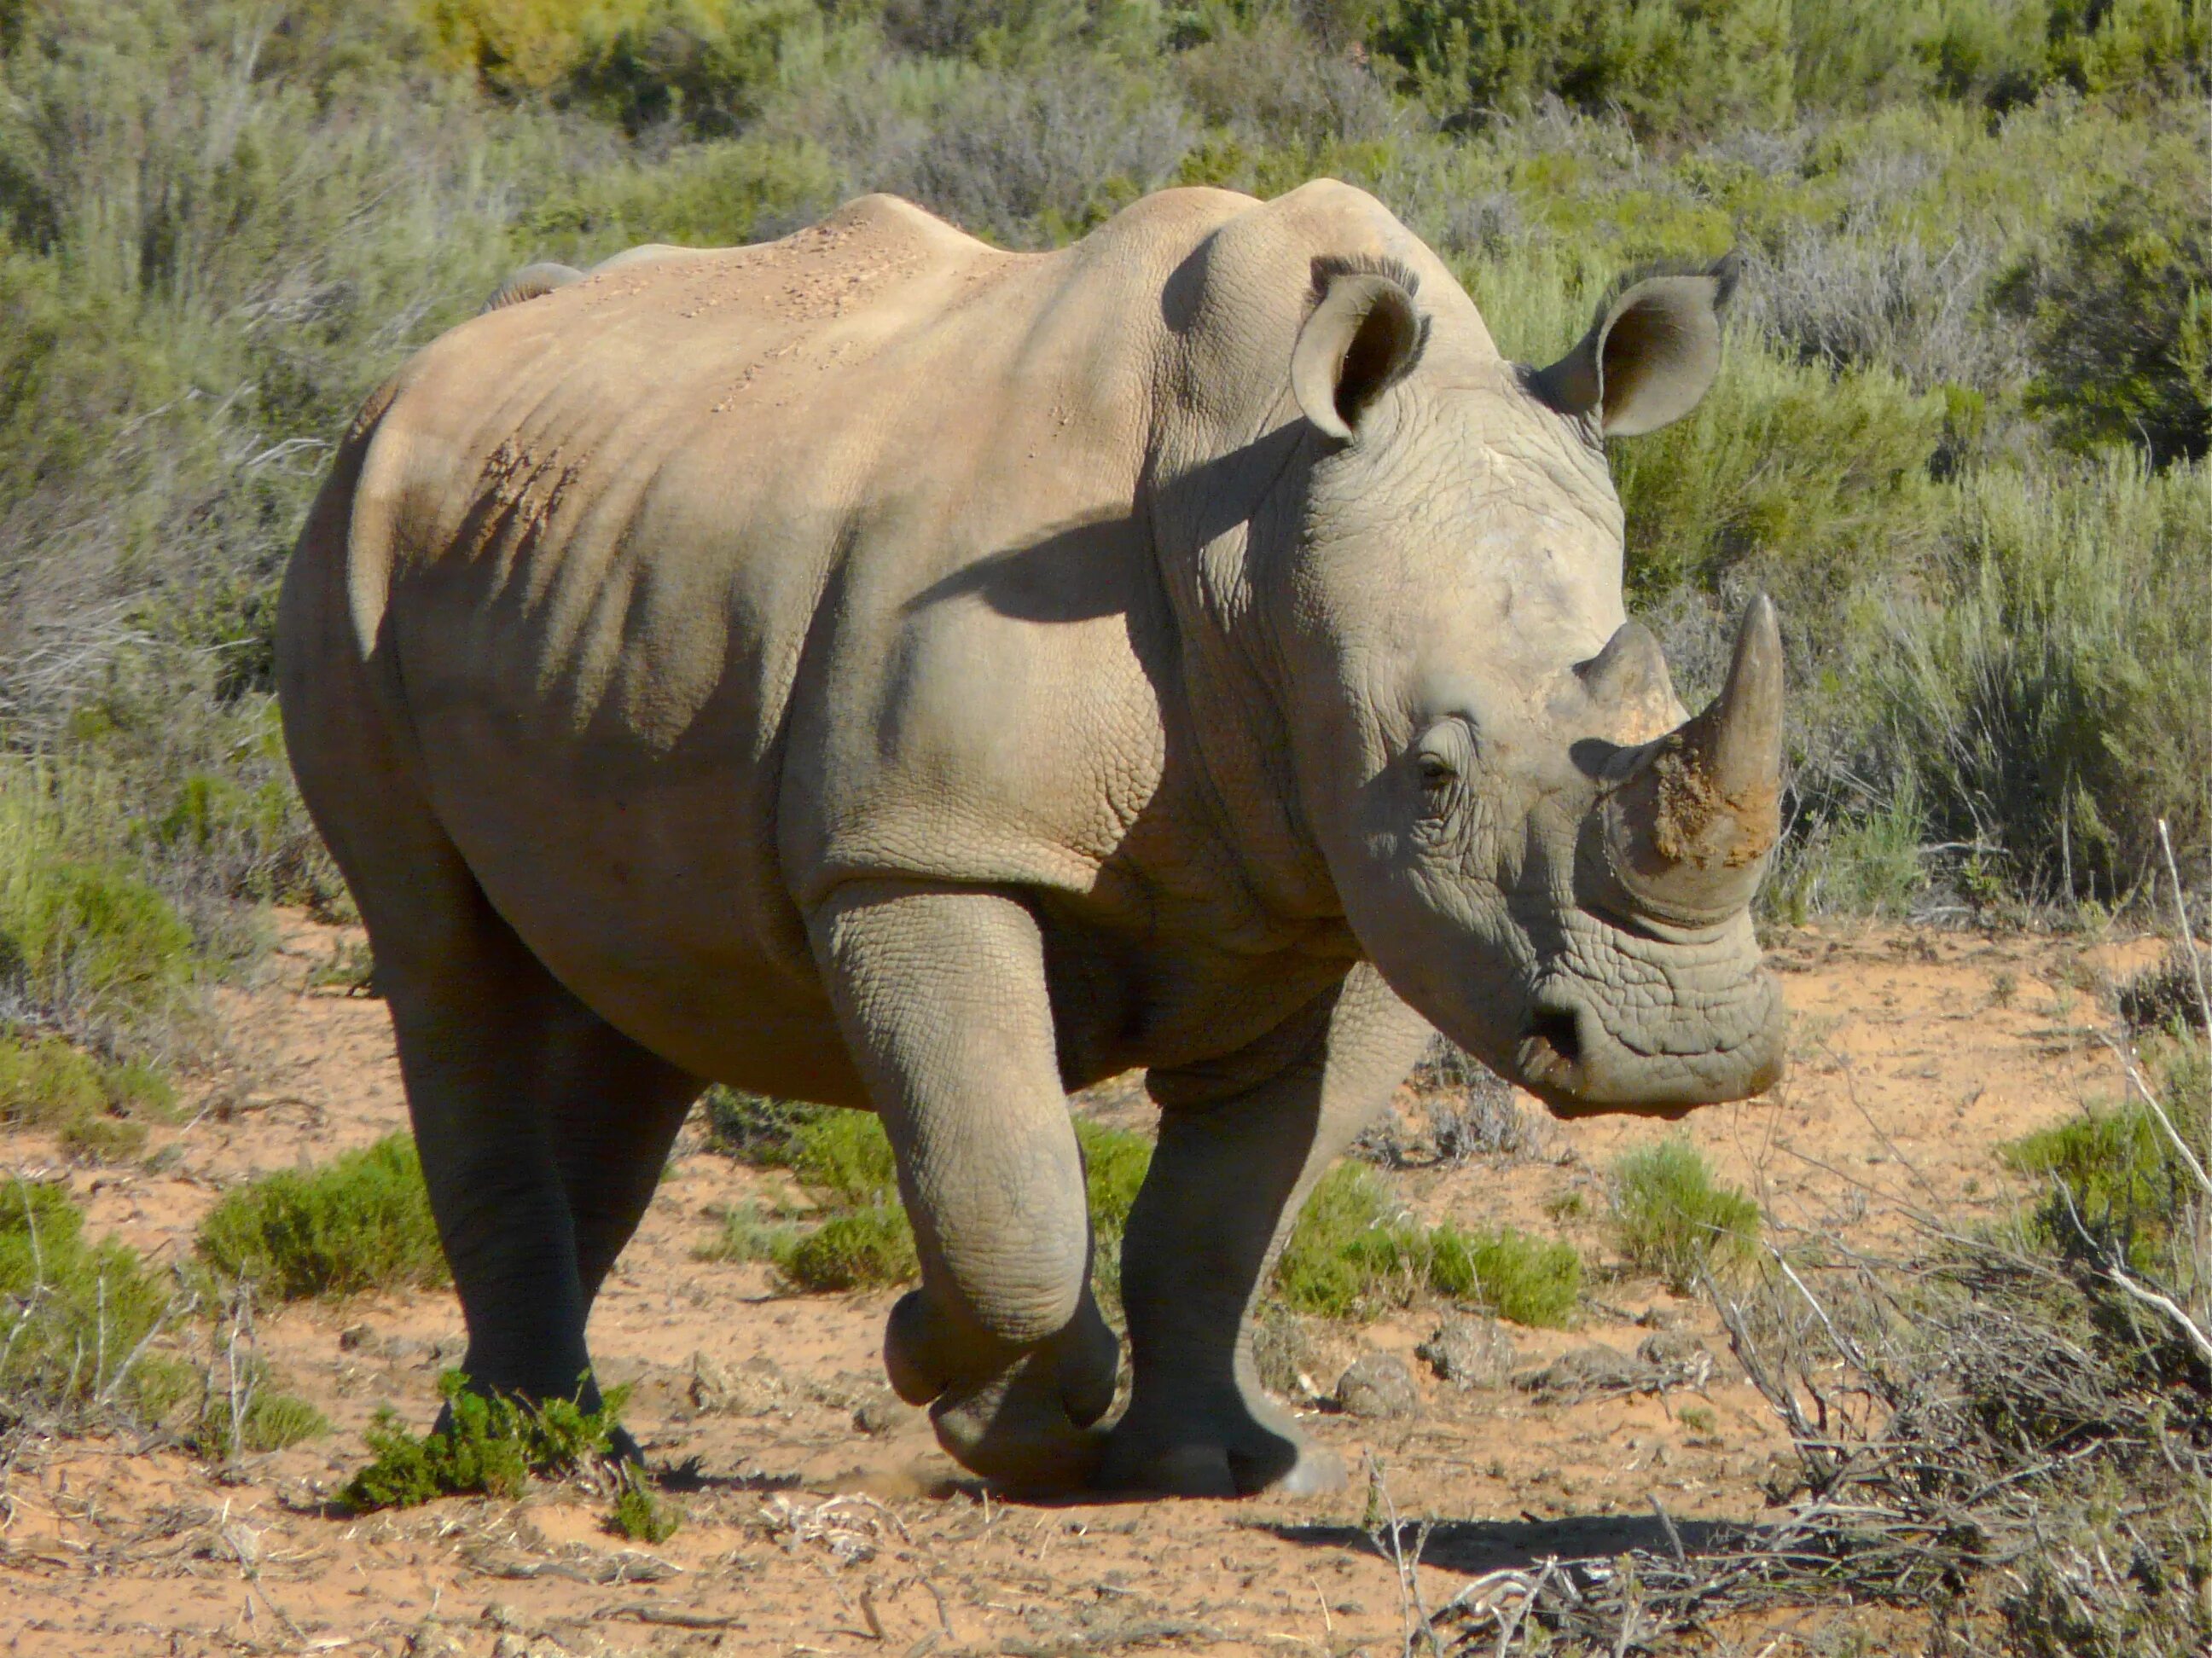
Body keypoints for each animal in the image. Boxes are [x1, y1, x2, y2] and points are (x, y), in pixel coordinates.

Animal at [281, 184, 1796, 1503]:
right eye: (1431, 775)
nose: (1680, 1050)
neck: (1256, 534)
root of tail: (431, 357)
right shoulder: (918, 846)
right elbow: (1008, 1195)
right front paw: (969, 1397)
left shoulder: (1379, 900)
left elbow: (1226, 1214)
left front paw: (1212, 1465)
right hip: (350, 530)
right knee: (443, 957)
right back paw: (522, 1461)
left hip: (604, 556)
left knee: (640, 989)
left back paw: (555, 1442)